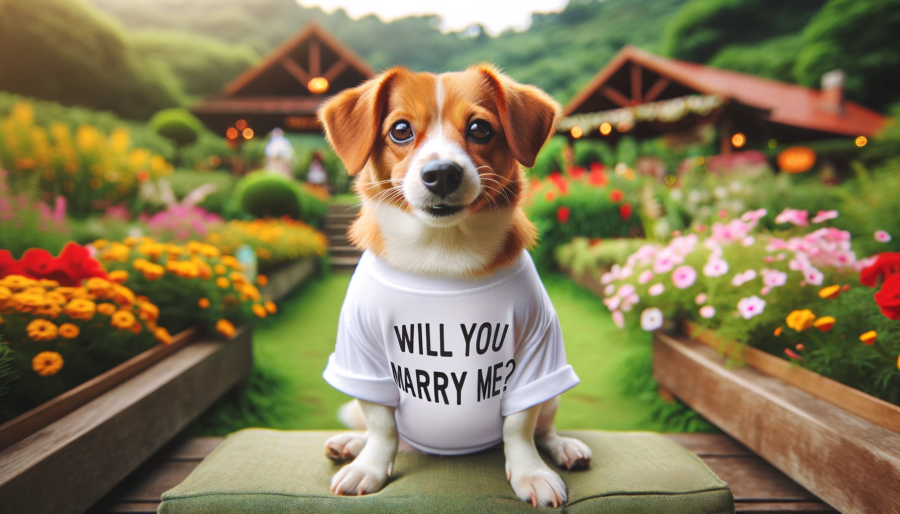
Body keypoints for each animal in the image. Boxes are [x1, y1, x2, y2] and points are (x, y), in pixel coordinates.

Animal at [316, 63, 592, 504]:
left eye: (480, 128)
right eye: (400, 130)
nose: (441, 173)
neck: (442, 257)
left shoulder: (536, 353)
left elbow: (520, 426)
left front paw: (531, 473)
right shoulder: (362, 358)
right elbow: (381, 425)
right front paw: (369, 467)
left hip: (551, 387)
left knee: (545, 425)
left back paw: (564, 447)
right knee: (389, 433)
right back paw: (351, 444)